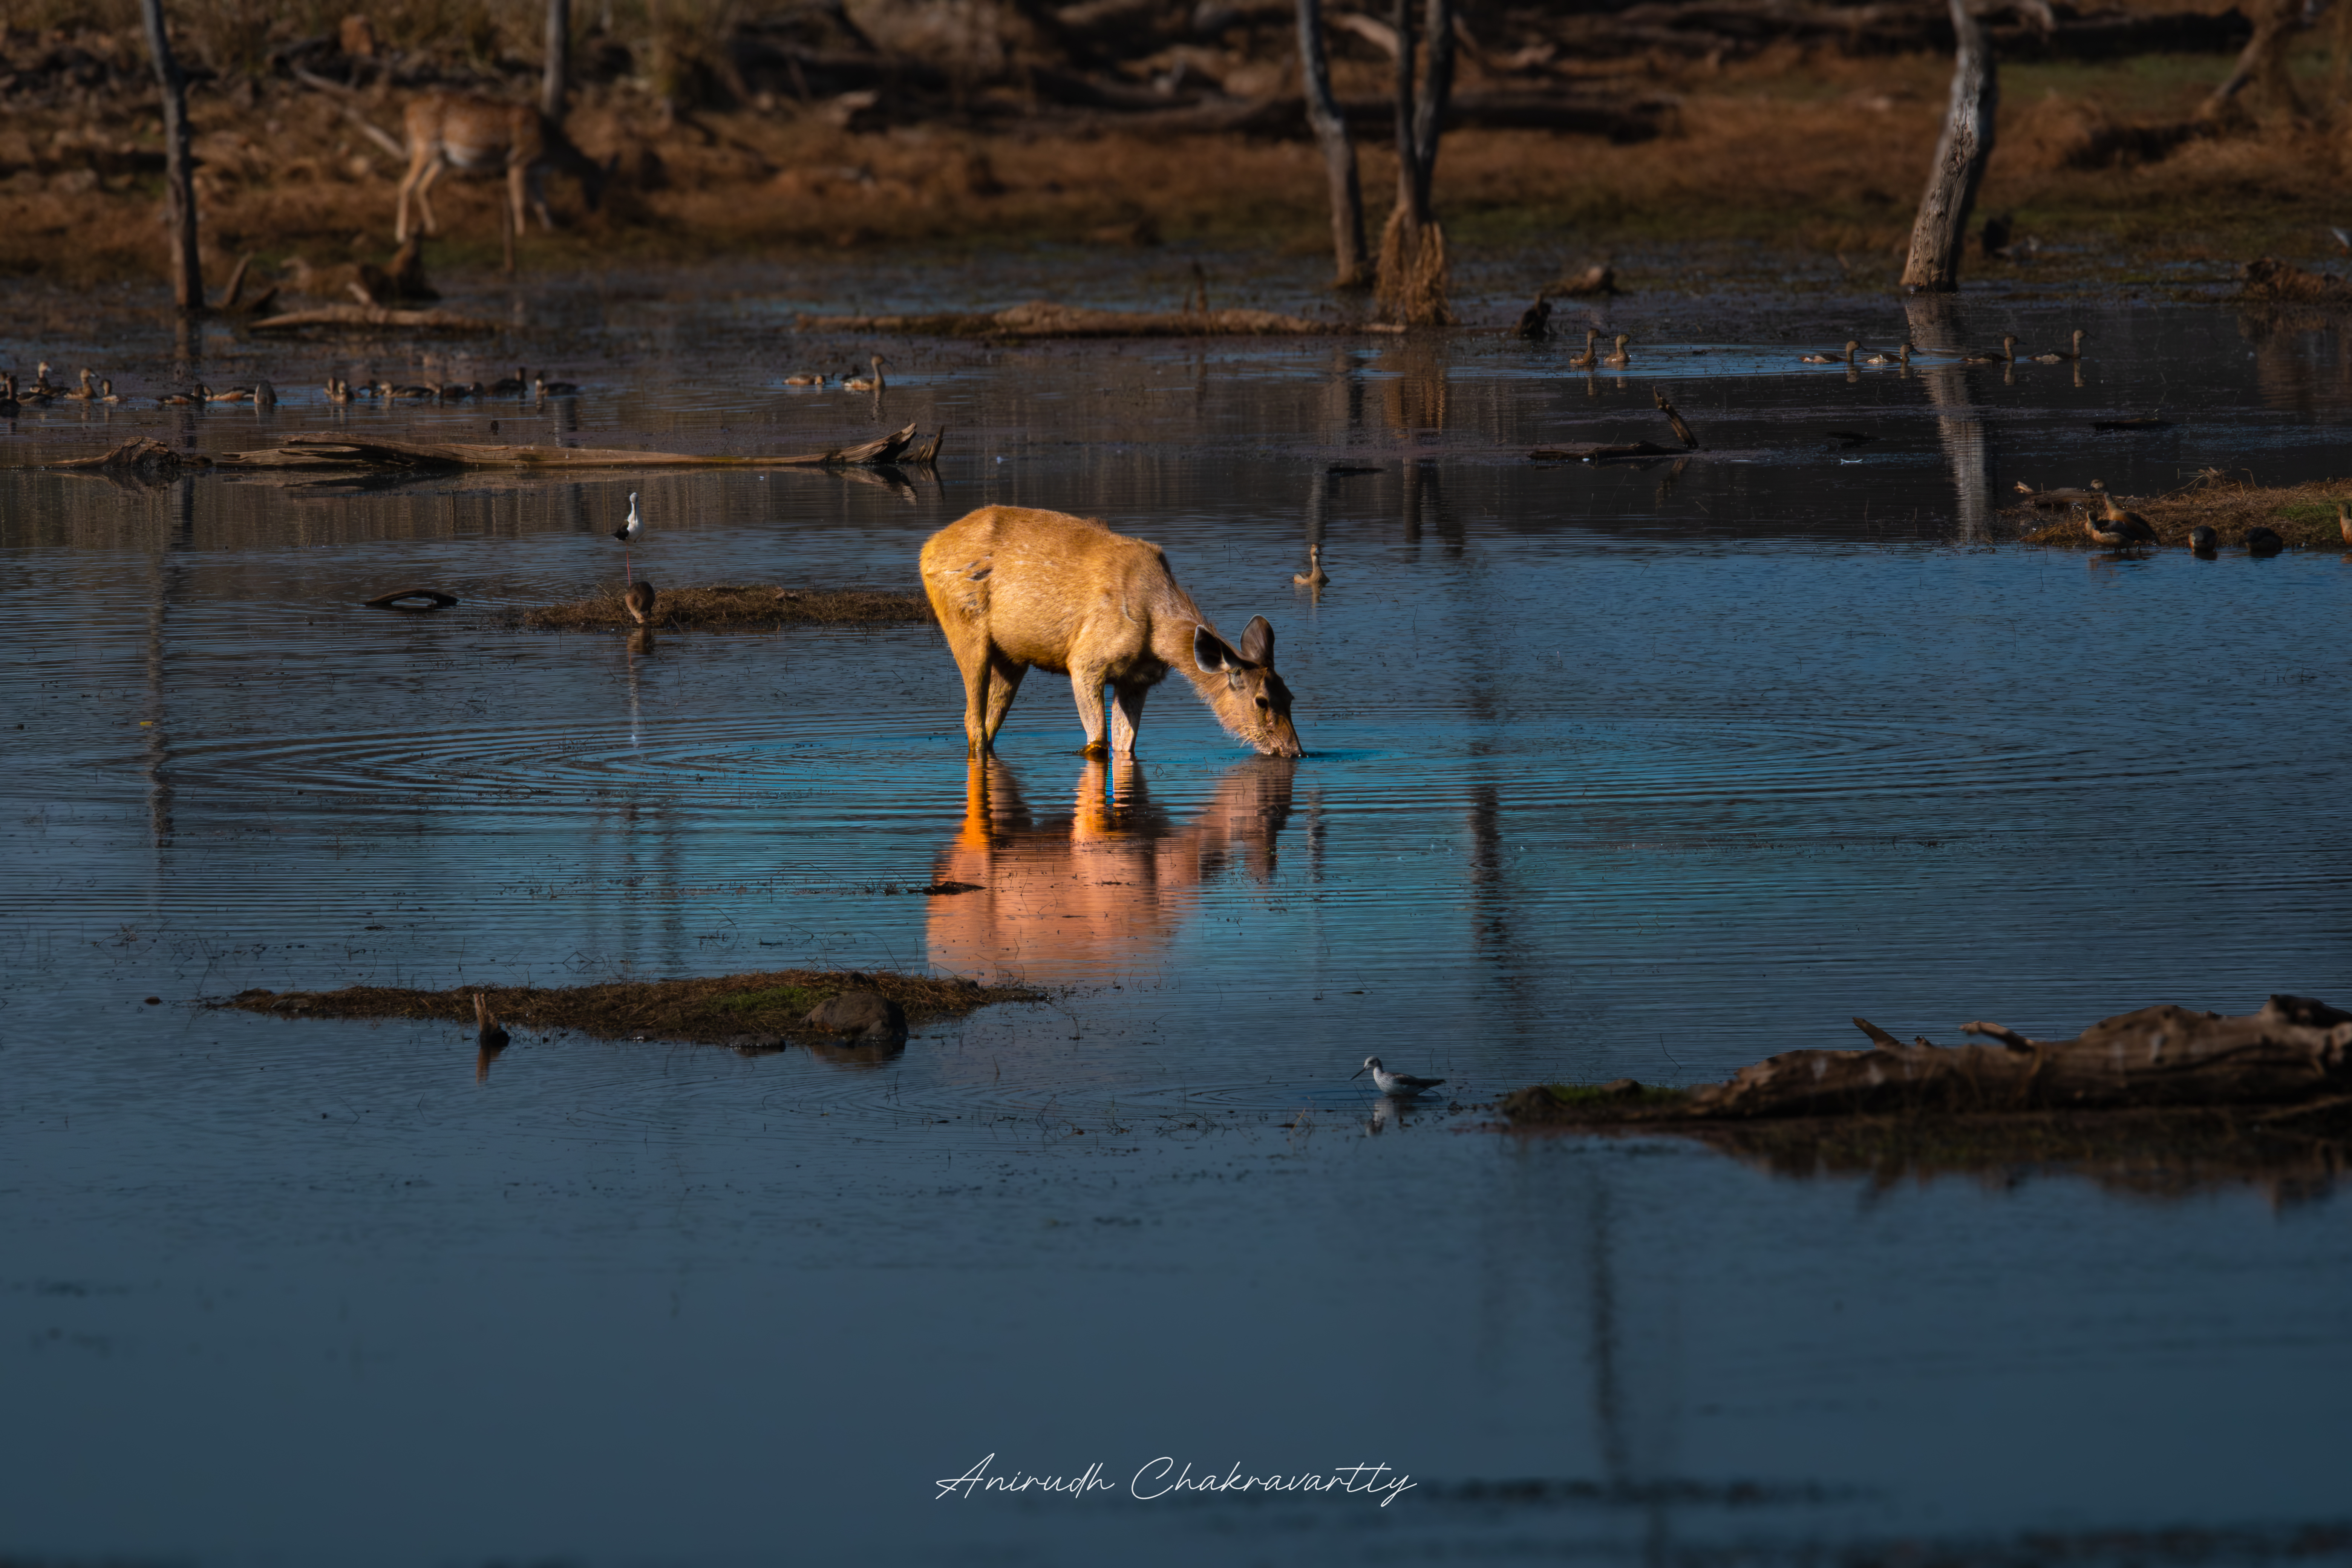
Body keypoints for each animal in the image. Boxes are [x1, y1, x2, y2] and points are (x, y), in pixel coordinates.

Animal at [394, 93, 615, 245]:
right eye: (598, 181)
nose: (595, 206)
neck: (549, 150)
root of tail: (407, 110)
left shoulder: (534, 172)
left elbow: (542, 203)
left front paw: (551, 231)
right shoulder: (518, 162)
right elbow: (519, 201)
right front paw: (521, 233)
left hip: (443, 158)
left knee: (424, 187)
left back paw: (432, 227)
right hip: (426, 145)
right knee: (406, 185)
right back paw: (402, 235)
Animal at [918, 506, 1303, 760]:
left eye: (1290, 696)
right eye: (1261, 701)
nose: (1294, 751)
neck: (1156, 633)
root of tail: (927, 551)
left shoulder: (1137, 679)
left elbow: (1124, 744)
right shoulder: (1085, 662)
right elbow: (1097, 742)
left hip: (1013, 657)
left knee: (989, 722)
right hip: (966, 628)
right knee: (973, 721)